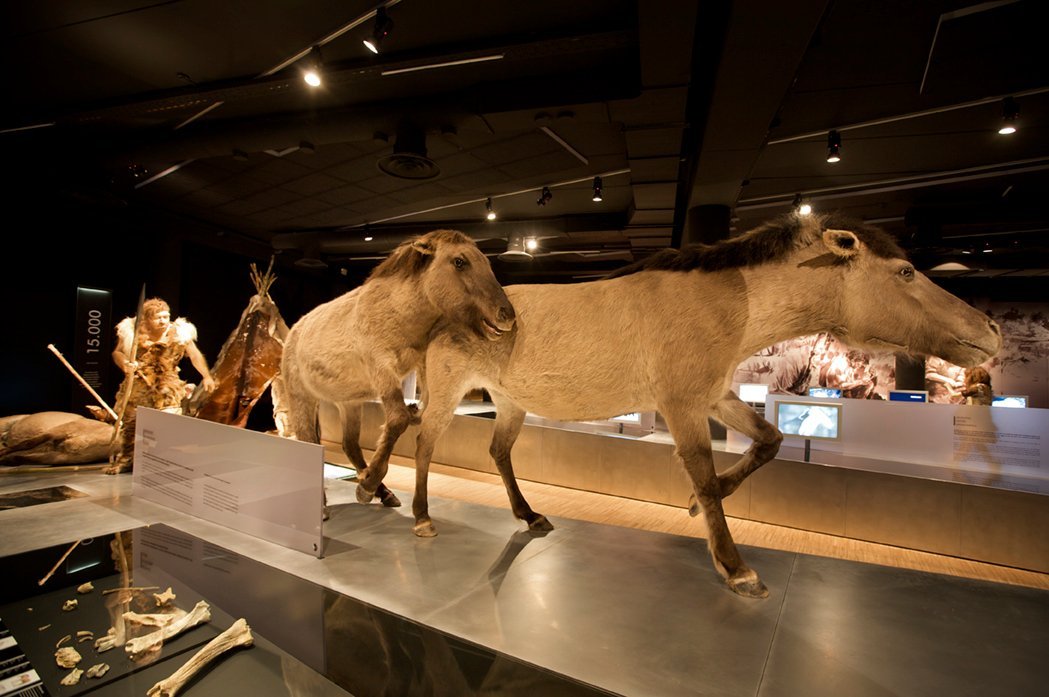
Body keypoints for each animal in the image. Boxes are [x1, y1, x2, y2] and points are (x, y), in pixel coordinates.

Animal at [281, 228, 514, 505]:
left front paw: (369, 483)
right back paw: (327, 501)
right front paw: (367, 485)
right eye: (459, 261)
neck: (397, 312)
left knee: (350, 445)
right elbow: (398, 419)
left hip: (348, 403)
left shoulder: (420, 367)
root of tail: (294, 331)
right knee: (308, 439)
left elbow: (418, 413)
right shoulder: (382, 369)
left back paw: (384, 493)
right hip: (302, 398)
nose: (507, 315)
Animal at [398, 214, 998, 600]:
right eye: (905, 272)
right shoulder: (683, 405)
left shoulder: (714, 397)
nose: (990, 330)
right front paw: (735, 567)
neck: (727, 304)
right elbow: (706, 476)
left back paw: (529, 515)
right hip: (448, 396)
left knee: (498, 452)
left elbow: (768, 441)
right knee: (424, 444)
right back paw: (422, 517)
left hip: (511, 404)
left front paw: (691, 508)